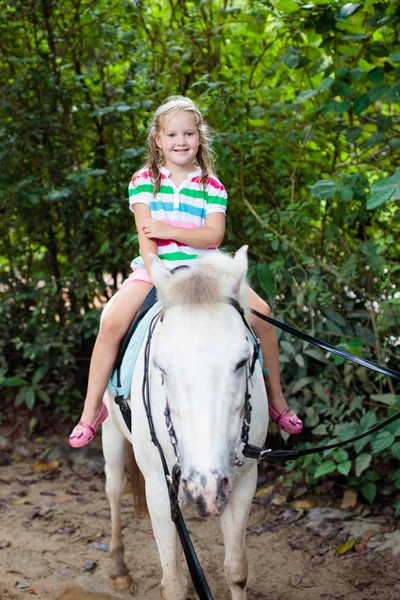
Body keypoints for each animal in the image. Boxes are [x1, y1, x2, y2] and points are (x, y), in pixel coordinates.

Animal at [101, 247, 268, 600]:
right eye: (161, 367)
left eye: (242, 361)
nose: (207, 483)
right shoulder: (157, 485)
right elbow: (173, 583)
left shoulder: (245, 481)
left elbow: (237, 570)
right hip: (110, 433)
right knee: (113, 489)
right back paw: (119, 571)